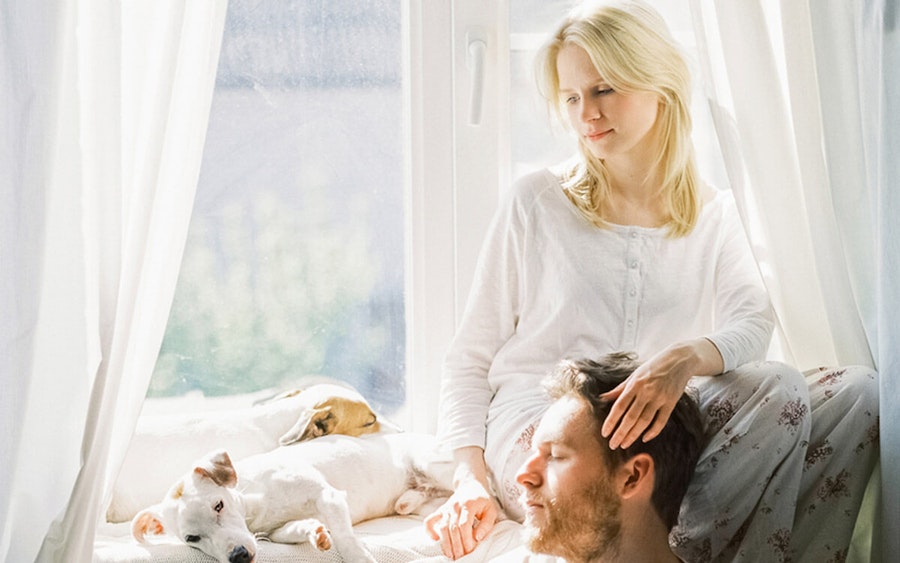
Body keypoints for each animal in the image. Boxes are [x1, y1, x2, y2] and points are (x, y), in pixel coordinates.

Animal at [130, 434, 454, 560]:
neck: (255, 504)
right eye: (192, 539)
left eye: (218, 505)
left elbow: (346, 539)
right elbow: (297, 530)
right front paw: (315, 533)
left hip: (432, 465)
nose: (239, 556)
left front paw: (357, 555)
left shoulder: (328, 496)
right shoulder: (277, 531)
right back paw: (409, 501)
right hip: (427, 500)